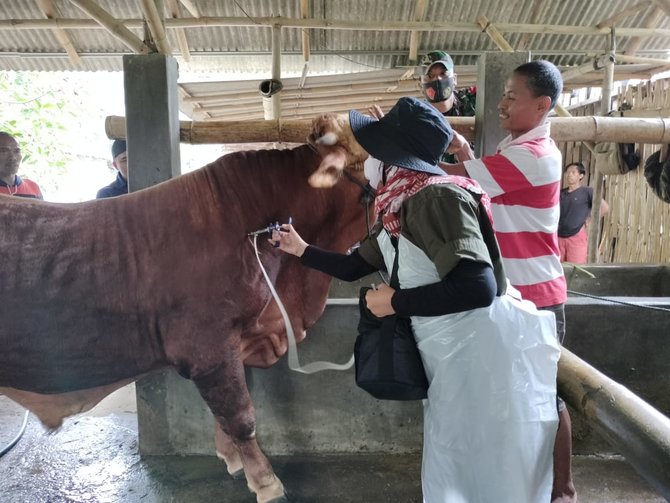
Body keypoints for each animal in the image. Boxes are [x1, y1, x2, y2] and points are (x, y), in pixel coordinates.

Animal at [0, 117, 370, 503]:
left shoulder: (238, 338)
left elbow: (229, 410)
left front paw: (231, 459)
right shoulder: (210, 345)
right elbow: (240, 414)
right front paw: (266, 482)